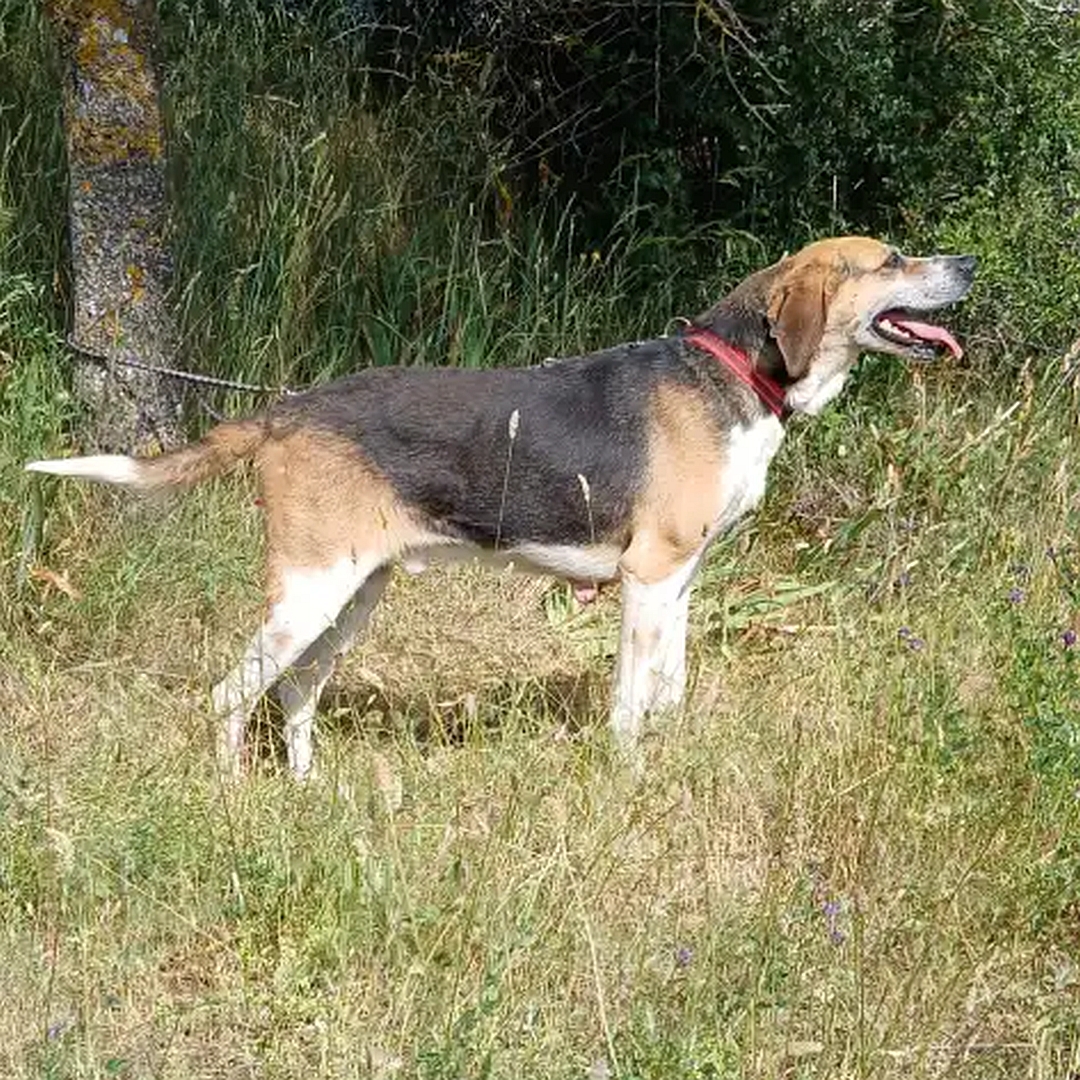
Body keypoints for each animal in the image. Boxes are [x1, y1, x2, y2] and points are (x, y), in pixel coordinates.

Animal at [25, 238, 976, 777]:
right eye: (891, 261)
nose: (967, 265)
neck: (737, 371)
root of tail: (289, 409)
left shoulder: (681, 583)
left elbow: (669, 690)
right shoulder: (648, 577)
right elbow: (629, 702)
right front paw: (628, 783)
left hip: (351, 599)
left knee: (294, 695)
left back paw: (305, 790)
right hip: (310, 591)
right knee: (229, 697)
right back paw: (235, 803)